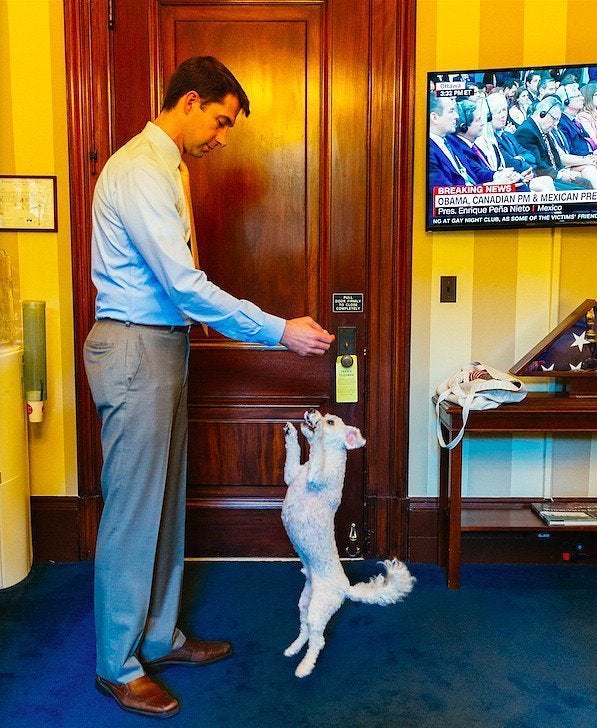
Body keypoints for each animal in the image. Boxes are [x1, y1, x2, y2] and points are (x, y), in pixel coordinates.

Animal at [280, 410, 414, 676]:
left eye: (331, 420)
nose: (312, 413)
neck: (327, 459)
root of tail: (345, 589)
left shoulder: (318, 477)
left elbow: (316, 453)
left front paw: (318, 433)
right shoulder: (292, 476)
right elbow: (292, 460)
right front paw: (291, 433)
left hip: (319, 607)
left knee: (318, 640)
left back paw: (305, 667)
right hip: (305, 603)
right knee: (305, 629)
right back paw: (294, 648)